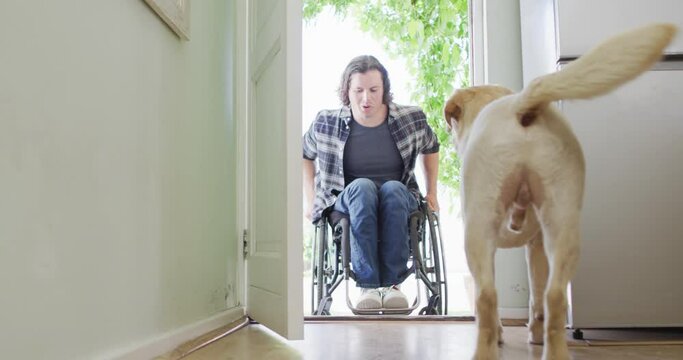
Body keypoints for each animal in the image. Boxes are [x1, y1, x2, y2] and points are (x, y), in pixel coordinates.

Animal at [446, 23, 676, 358]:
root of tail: (521, 105)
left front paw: (504, 334)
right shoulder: (537, 245)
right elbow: (536, 297)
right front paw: (534, 334)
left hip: (478, 229)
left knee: (487, 297)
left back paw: (486, 349)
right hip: (563, 222)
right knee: (554, 297)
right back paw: (553, 349)